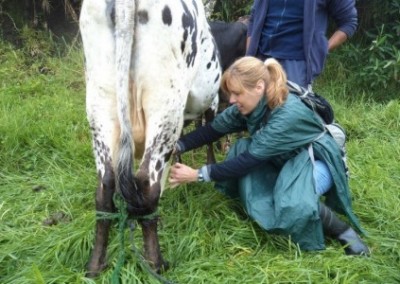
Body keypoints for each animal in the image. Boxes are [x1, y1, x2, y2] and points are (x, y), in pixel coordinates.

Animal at [79, 0, 220, 276]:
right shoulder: (212, 101)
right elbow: (208, 136)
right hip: (165, 102)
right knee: (146, 182)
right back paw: (156, 263)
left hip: (99, 103)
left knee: (105, 187)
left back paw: (95, 265)